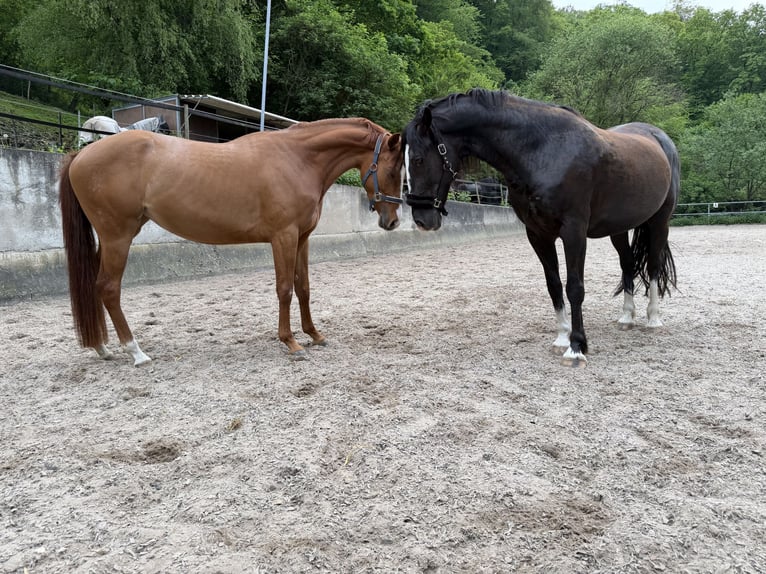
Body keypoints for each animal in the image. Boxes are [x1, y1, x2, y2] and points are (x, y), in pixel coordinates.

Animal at [59, 118, 404, 366]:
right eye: (393, 170)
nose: (393, 222)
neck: (298, 160)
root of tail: (81, 154)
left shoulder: (302, 239)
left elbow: (303, 287)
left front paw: (315, 335)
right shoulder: (284, 237)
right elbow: (284, 289)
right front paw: (291, 342)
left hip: (108, 240)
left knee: (95, 286)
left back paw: (102, 348)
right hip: (117, 237)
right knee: (109, 288)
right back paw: (135, 352)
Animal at [402, 89, 679, 367]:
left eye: (417, 159)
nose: (422, 220)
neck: (543, 150)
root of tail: (659, 139)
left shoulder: (574, 232)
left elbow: (574, 288)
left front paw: (576, 347)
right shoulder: (538, 234)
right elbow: (554, 285)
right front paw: (562, 339)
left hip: (659, 221)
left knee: (653, 266)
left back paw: (653, 320)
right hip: (619, 228)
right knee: (628, 264)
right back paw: (626, 317)